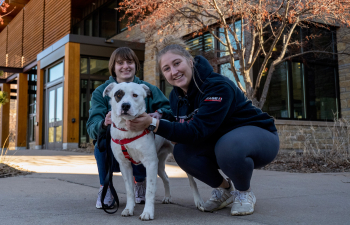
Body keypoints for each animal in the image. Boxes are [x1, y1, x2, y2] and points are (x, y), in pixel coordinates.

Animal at [102, 82, 204, 220]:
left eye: (135, 95)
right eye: (118, 94)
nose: (125, 105)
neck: (127, 130)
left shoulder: (150, 164)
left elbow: (150, 191)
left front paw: (147, 212)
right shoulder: (125, 165)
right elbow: (129, 190)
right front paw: (129, 209)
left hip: (173, 163)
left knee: (192, 182)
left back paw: (199, 202)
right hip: (159, 164)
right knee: (166, 178)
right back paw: (167, 197)